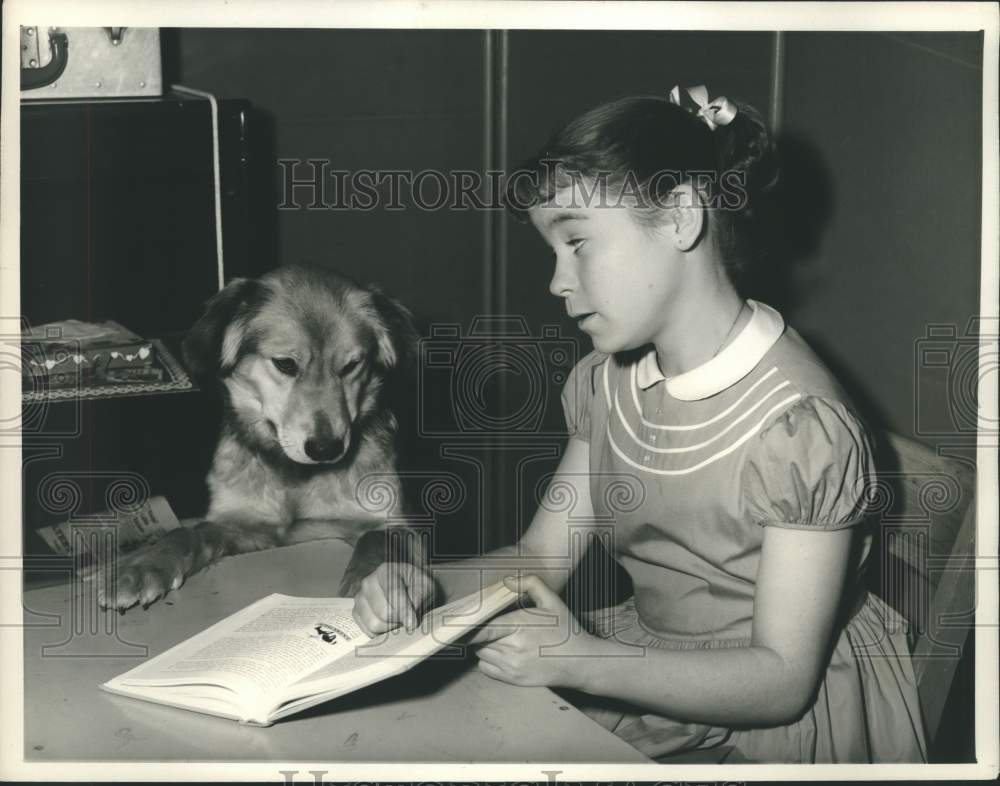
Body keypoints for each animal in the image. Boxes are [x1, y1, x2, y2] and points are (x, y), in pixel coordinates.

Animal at [94, 264, 422, 612]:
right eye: (285, 364)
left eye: (351, 365)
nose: (325, 448)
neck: (296, 475)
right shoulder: (245, 525)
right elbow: (187, 533)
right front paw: (142, 566)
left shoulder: (394, 523)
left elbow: (379, 541)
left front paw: (380, 586)